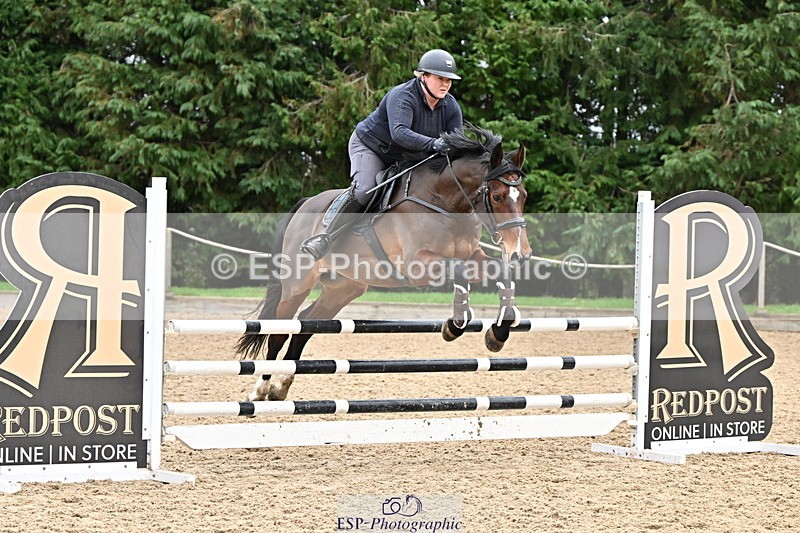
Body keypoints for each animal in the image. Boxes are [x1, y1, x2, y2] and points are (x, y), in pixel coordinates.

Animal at [236, 125, 531, 401]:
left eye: (524, 196)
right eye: (497, 197)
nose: (521, 253)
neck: (445, 202)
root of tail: (306, 203)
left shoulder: (472, 256)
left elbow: (495, 270)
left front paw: (495, 332)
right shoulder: (419, 265)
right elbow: (460, 271)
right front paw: (456, 325)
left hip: (344, 288)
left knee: (306, 324)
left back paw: (281, 387)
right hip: (298, 283)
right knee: (279, 331)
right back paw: (261, 389)